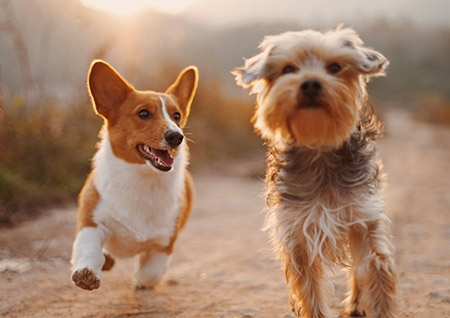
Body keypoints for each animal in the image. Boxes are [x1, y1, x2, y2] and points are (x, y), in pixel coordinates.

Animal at [71, 59, 198, 290]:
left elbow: (150, 273)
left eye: (177, 116)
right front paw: (87, 273)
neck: (141, 178)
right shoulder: (91, 222)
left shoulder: (164, 243)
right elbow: (89, 249)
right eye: (144, 114)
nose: (177, 136)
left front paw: (140, 281)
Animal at [234, 27, 400, 318]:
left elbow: (376, 269)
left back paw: (357, 303)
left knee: (358, 270)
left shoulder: (363, 218)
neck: (319, 147)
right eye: (288, 69)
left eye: (335, 67)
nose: (310, 83)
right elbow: (309, 289)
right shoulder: (297, 232)